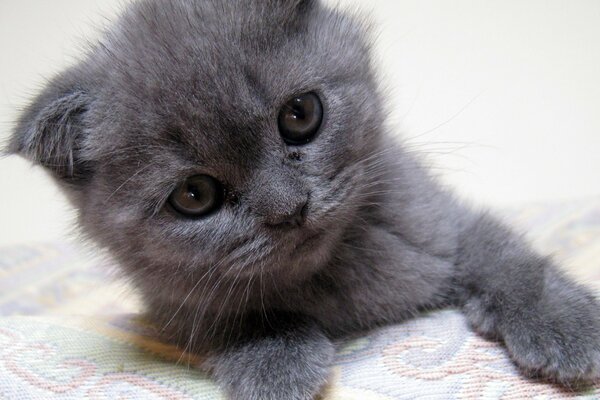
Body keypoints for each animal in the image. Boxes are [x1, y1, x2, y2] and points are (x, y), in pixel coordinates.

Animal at [7, 0, 596, 400]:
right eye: (194, 195)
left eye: (299, 114)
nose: (288, 209)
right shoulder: (171, 304)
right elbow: (226, 315)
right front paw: (275, 364)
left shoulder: (438, 222)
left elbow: (505, 255)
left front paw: (564, 323)